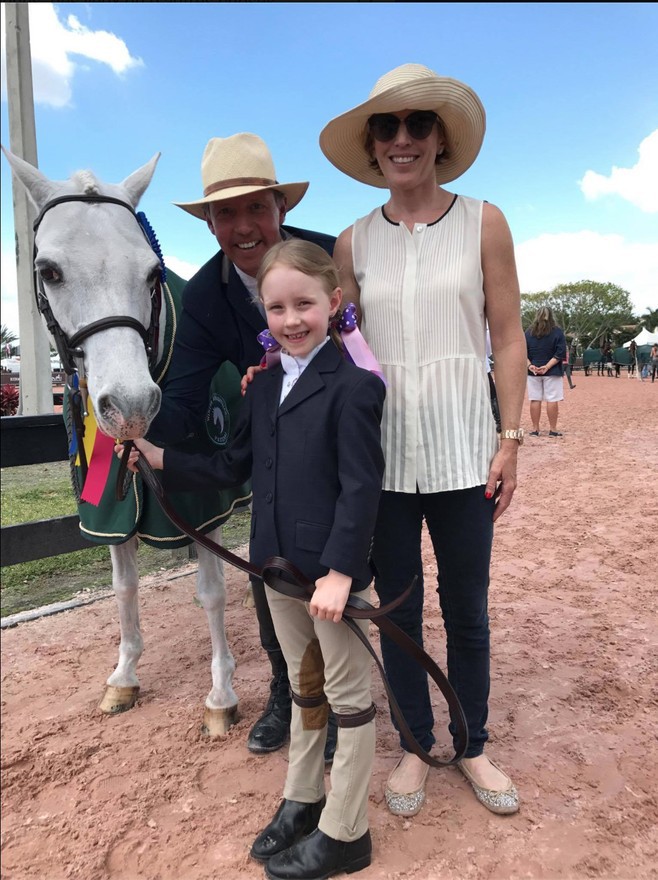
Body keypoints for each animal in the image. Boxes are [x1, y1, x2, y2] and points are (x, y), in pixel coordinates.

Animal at [3, 148, 238, 740]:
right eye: (49, 271)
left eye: (152, 272)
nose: (130, 406)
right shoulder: (108, 509)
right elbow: (124, 588)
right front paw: (125, 676)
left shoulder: (206, 506)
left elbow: (212, 592)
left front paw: (221, 694)